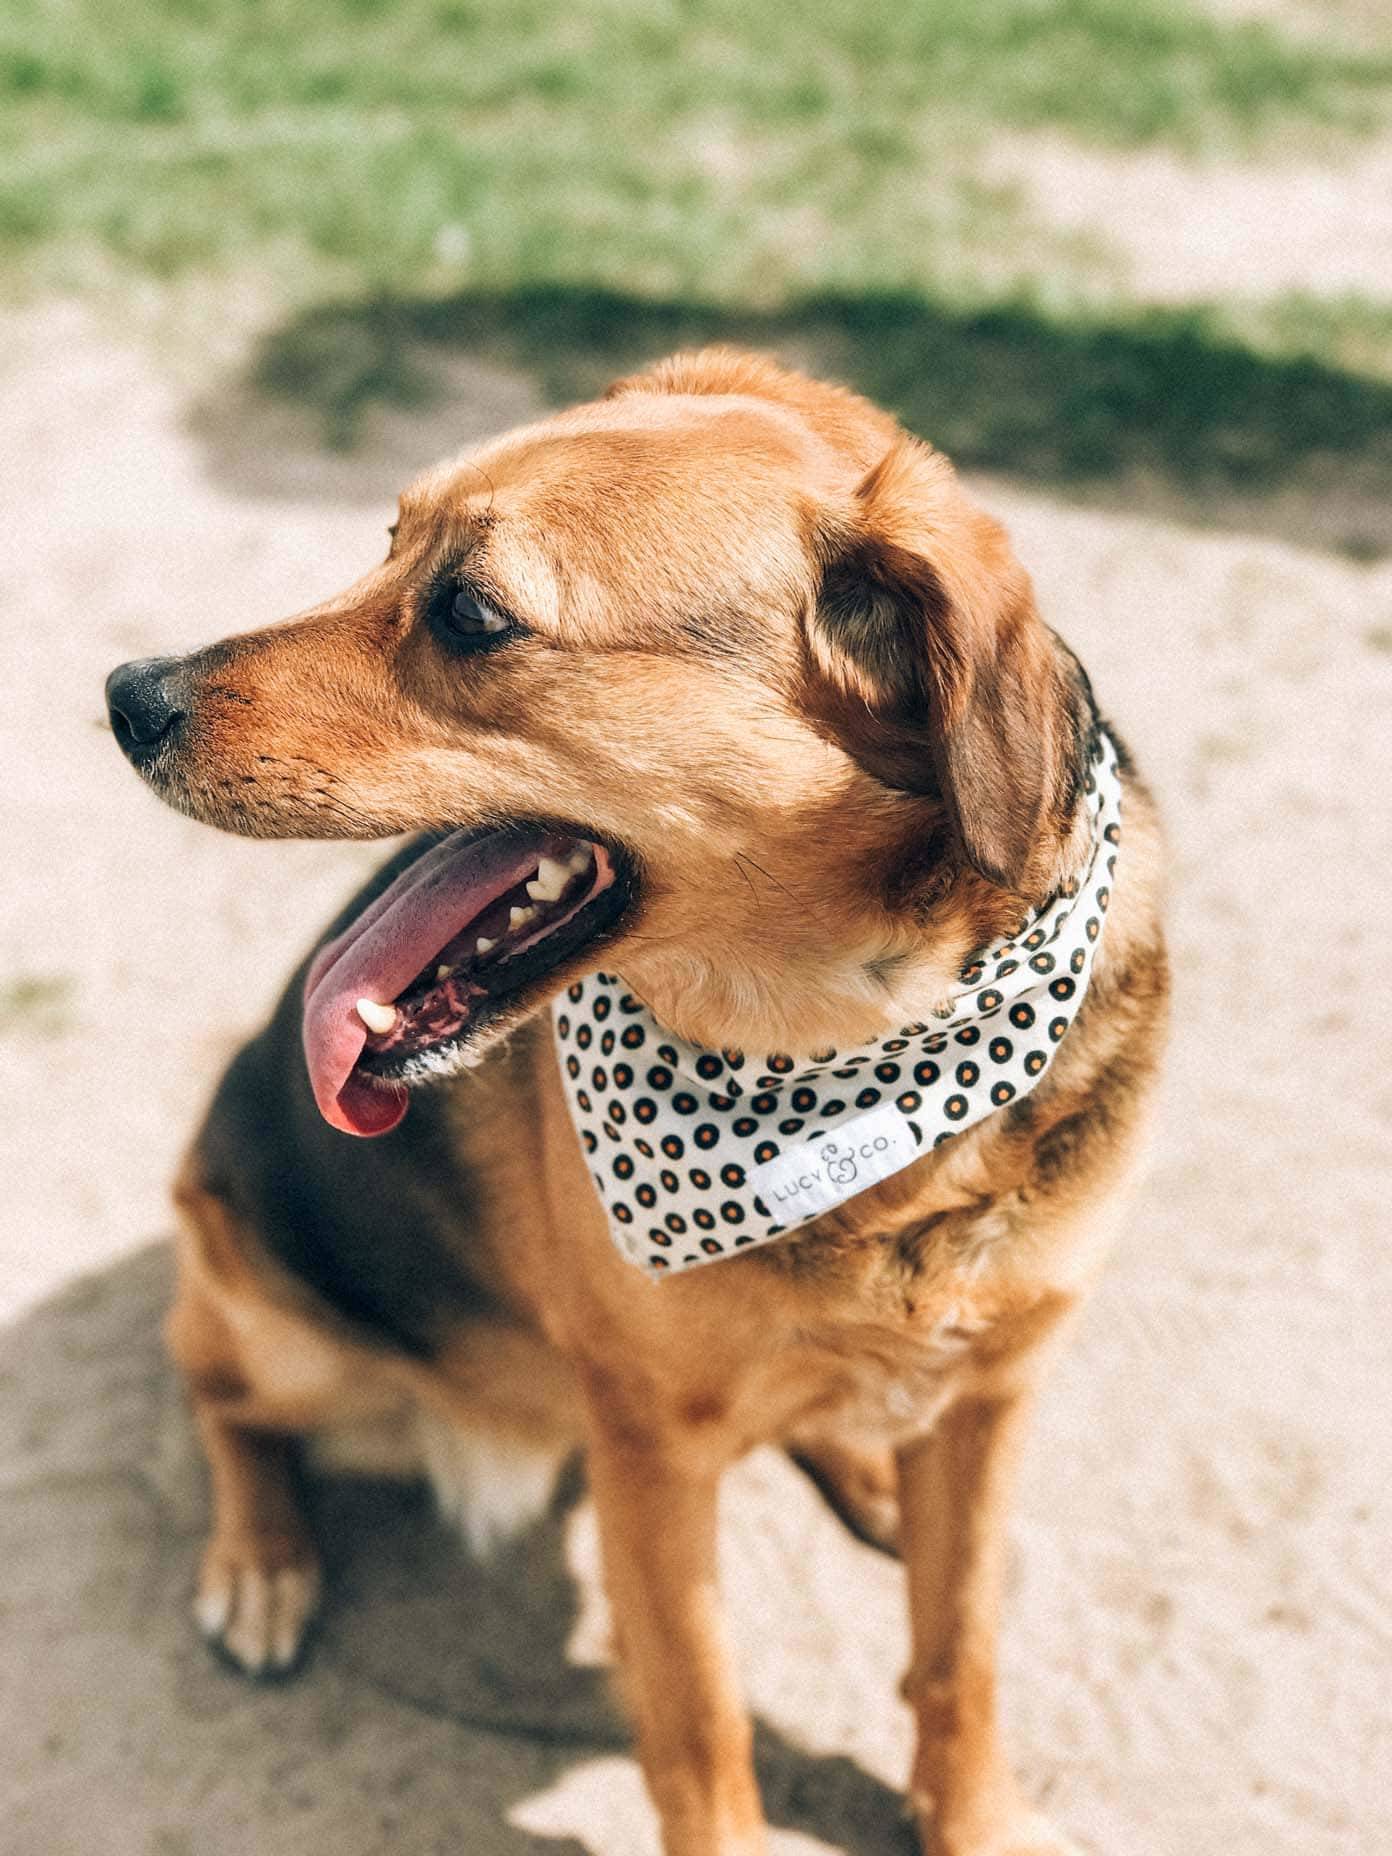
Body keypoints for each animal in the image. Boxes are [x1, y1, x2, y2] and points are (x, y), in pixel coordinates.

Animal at [109, 350, 1172, 1856]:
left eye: (472, 613)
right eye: (389, 541)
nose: (124, 697)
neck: (852, 1065)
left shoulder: (998, 1390)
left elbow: (959, 1655)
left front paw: (975, 1820)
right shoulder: (653, 1459)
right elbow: (700, 1722)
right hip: (276, 1319)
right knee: (213, 1389)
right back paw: (259, 1560)